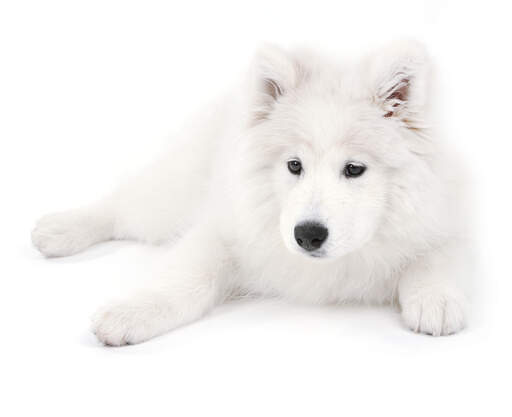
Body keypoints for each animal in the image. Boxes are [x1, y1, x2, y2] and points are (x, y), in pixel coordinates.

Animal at [32, 39, 470, 344]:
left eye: (354, 169)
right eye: (294, 166)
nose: (307, 235)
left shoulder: (446, 216)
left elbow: (436, 255)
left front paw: (435, 300)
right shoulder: (226, 229)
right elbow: (184, 278)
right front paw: (131, 312)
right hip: (171, 197)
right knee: (121, 208)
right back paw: (60, 230)